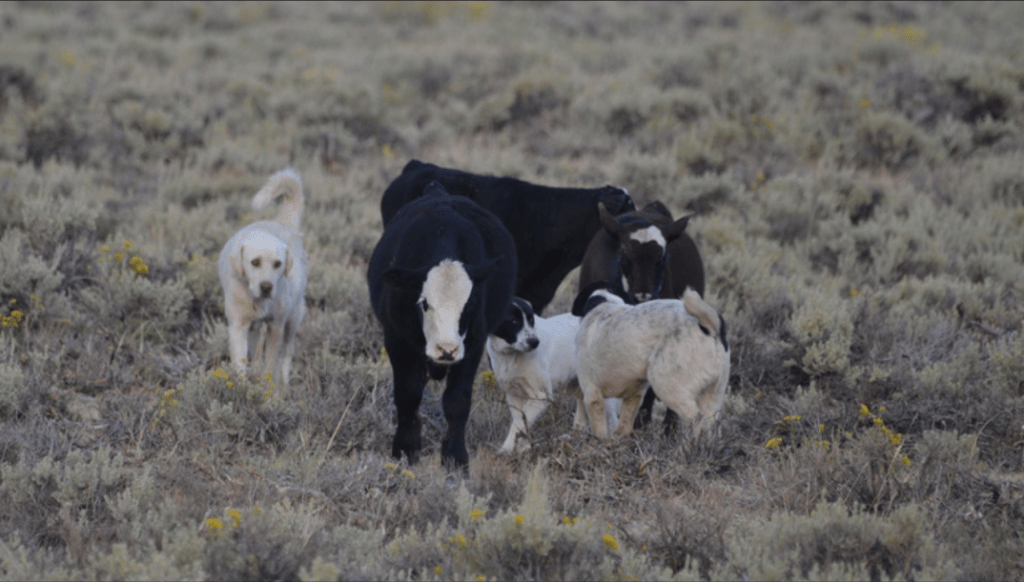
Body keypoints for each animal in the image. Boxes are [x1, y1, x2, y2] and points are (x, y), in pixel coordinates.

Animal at [217, 168, 307, 389]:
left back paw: (284, 384)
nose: (266, 287)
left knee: (286, 353)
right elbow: (240, 362)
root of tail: (280, 222)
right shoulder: (238, 326)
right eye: (255, 262)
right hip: (256, 326)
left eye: (278, 264)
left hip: (294, 317)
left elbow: (272, 362)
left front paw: (268, 390)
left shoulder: (276, 325)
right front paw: (241, 389)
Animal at [486, 297, 620, 453]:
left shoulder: (541, 397)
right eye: (513, 320)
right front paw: (523, 449)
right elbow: (520, 421)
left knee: (611, 420)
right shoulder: (513, 395)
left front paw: (506, 450)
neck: (511, 354)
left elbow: (519, 424)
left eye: (531, 319)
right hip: (582, 387)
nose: (534, 342)